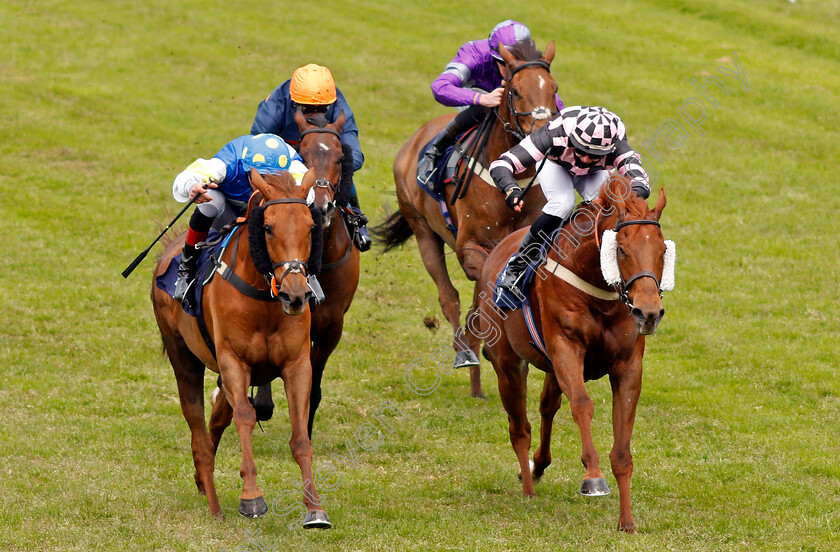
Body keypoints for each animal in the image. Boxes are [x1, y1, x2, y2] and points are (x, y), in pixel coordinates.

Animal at [153, 170, 330, 528]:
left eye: (310, 226)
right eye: (268, 227)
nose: (295, 294)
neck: (263, 299)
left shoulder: (297, 364)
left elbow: (300, 434)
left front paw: (315, 507)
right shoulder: (234, 361)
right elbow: (245, 417)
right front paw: (251, 497)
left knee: (217, 418)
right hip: (183, 357)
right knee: (199, 429)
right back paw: (213, 501)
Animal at [246, 111, 358, 436]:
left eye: (339, 158)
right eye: (303, 156)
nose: (321, 205)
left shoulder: (331, 327)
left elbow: (313, 389)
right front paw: (261, 403)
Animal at [376, 42, 556, 396]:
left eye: (553, 90)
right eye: (515, 90)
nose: (542, 133)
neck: (511, 178)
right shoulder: (469, 247)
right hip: (423, 231)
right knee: (449, 298)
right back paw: (465, 352)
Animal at [482, 176, 672, 532]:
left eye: (663, 250)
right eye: (621, 249)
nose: (649, 312)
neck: (598, 289)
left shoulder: (627, 366)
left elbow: (622, 451)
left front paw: (627, 521)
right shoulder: (565, 348)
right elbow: (582, 405)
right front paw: (593, 477)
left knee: (547, 406)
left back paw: (538, 465)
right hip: (508, 364)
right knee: (520, 428)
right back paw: (528, 488)